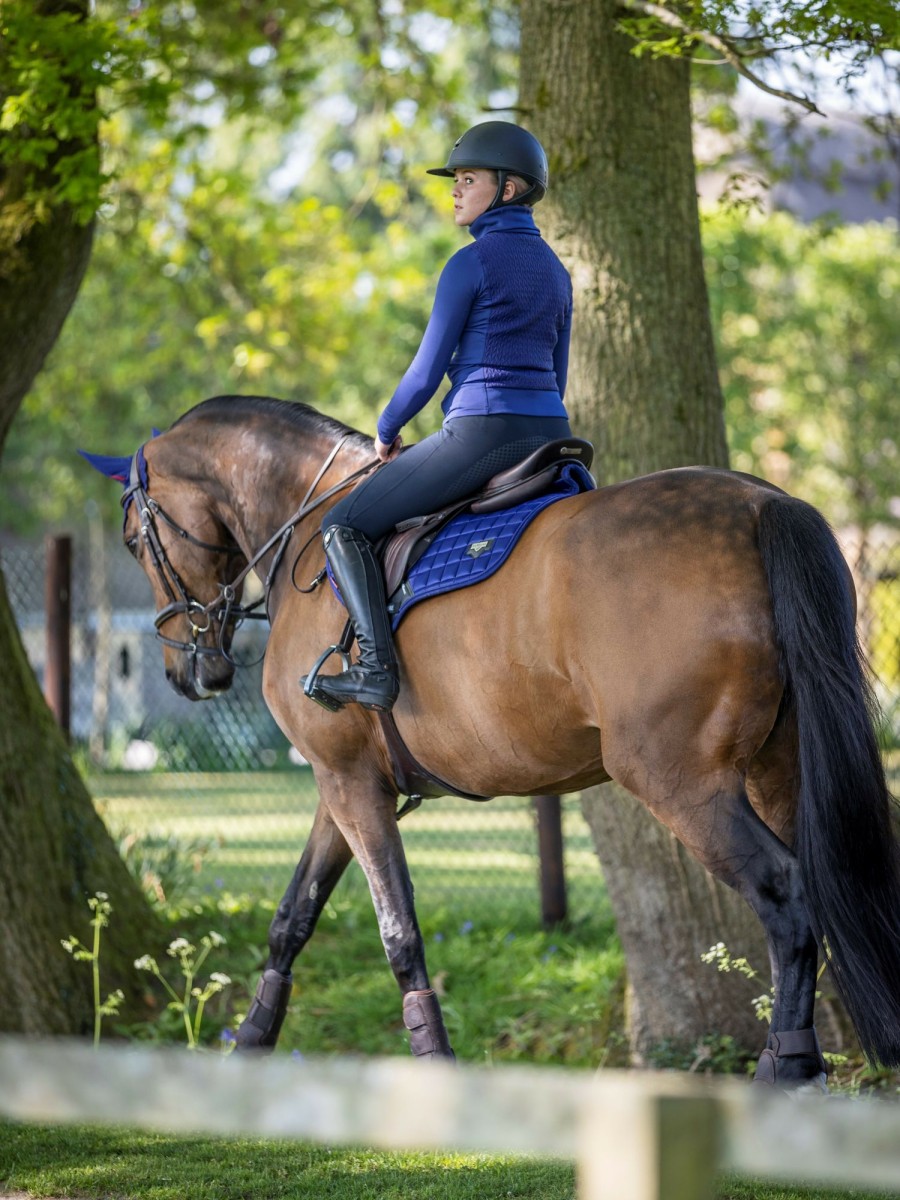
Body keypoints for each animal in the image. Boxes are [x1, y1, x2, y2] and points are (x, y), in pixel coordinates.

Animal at [86, 396, 900, 1089]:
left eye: (132, 540)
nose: (190, 671)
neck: (307, 535)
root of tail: (763, 502)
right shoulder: (340, 784)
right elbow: (293, 919)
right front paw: (252, 1042)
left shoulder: (347, 783)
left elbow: (398, 930)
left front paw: (434, 1061)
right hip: (776, 771)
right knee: (815, 890)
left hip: (681, 783)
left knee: (786, 894)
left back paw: (783, 1070)